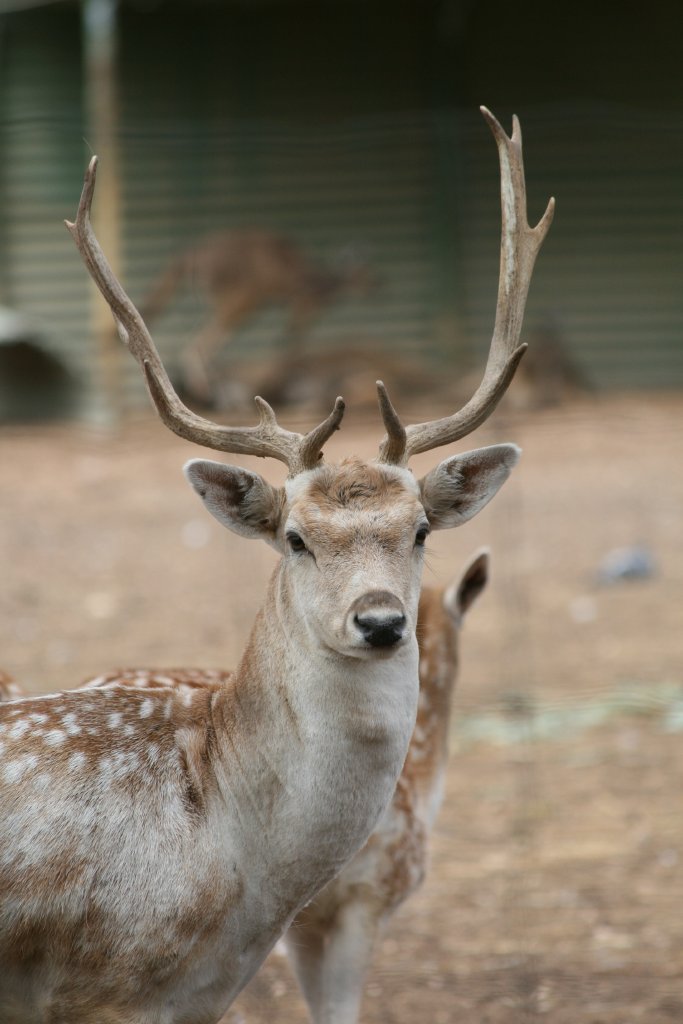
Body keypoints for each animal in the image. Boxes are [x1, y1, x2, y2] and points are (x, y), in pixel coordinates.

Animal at [139, 228, 377, 406]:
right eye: (365, 275)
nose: (380, 285)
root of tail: (193, 253)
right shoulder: (302, 307)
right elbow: (292, 341)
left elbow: (287, 342)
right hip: (242, 299)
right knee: (200, 343)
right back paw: (211, 394)